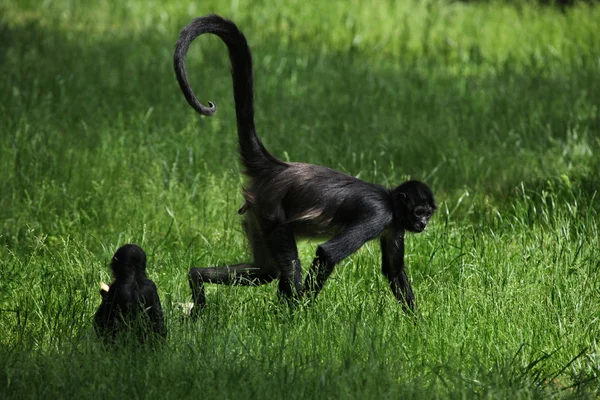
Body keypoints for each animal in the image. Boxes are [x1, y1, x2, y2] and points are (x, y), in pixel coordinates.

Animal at [173, 14, 436, 316]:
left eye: (428, 213)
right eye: (419, 212)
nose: (423, 224)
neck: (391, 201)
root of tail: (278, 167)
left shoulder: (394, 224)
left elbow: (393, 271)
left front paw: (418, 323)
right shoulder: (379, 213)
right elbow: (327, 254)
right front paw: (304, 312)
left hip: (256, 214)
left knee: (267, 270)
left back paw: (196, 276)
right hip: (273, 214)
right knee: (287, 266)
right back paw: (289, 312)